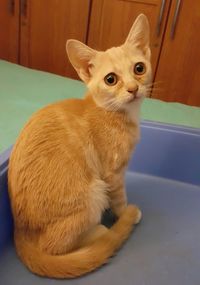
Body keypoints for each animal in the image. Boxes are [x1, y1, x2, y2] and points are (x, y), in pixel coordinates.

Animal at [7, 13, 152, 278]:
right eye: (111, 79)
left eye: (139, 68)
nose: (133, 89)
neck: (111, 112)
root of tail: (19, 230)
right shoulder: (112, 173)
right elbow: (119, 198)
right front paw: (125, 213)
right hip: (93, 192)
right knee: (54, 246)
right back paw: (100, 233)